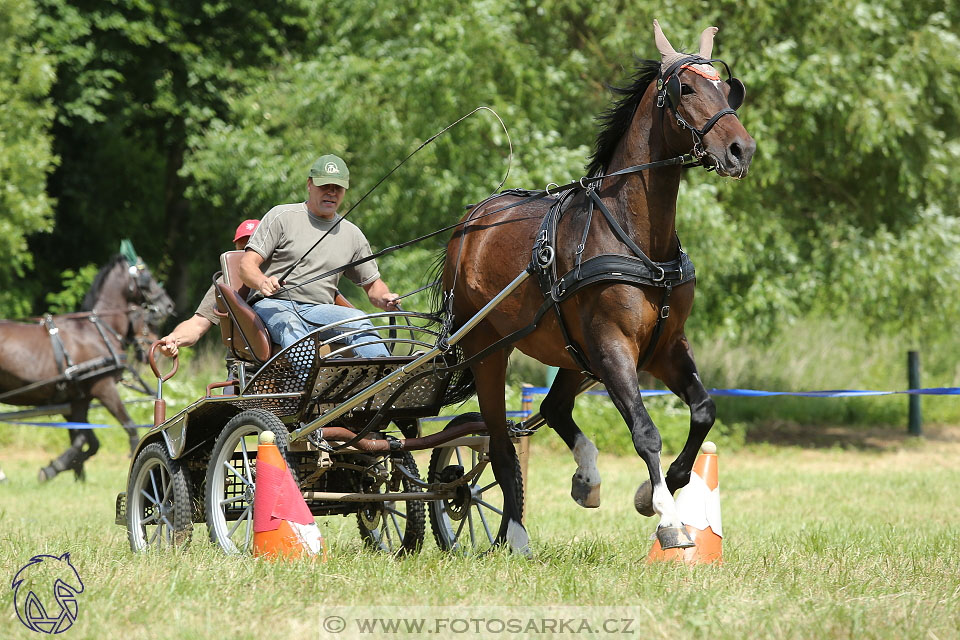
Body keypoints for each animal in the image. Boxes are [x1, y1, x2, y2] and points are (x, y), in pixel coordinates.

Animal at [0, 254, 174, 480]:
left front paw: (59, 468)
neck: (96, 332)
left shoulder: (78, 399)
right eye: (146, 275)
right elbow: (129, 427)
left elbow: (85, 440)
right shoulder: (104, 387)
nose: (168, 304)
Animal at [440, 17, 756, 552]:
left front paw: (656, 492)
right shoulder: (614, 346)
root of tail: (469, 224)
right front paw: (668, 519)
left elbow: (704, 410)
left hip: (576, 354)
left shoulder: (664, 347)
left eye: (728, 88)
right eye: (688, 88)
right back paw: (514, 534)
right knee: (501, 444)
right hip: (491, 351)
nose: (741, 150)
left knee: (553, 407)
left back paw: (586, 479)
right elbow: (646, 431)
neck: (639, 238)